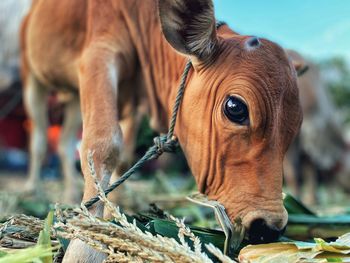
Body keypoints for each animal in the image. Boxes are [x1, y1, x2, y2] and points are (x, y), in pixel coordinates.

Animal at [20, 0, 302, 262]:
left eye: (296, 125)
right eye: (235, 107)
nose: (269, 227)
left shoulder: (134, 100)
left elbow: (124, 157)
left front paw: (113, 216)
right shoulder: (98, 55)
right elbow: (102, 144)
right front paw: (86, 242)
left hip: (71, 98)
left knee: (65, 144)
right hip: (32, 77)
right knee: (40, 141)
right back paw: (34, 189)